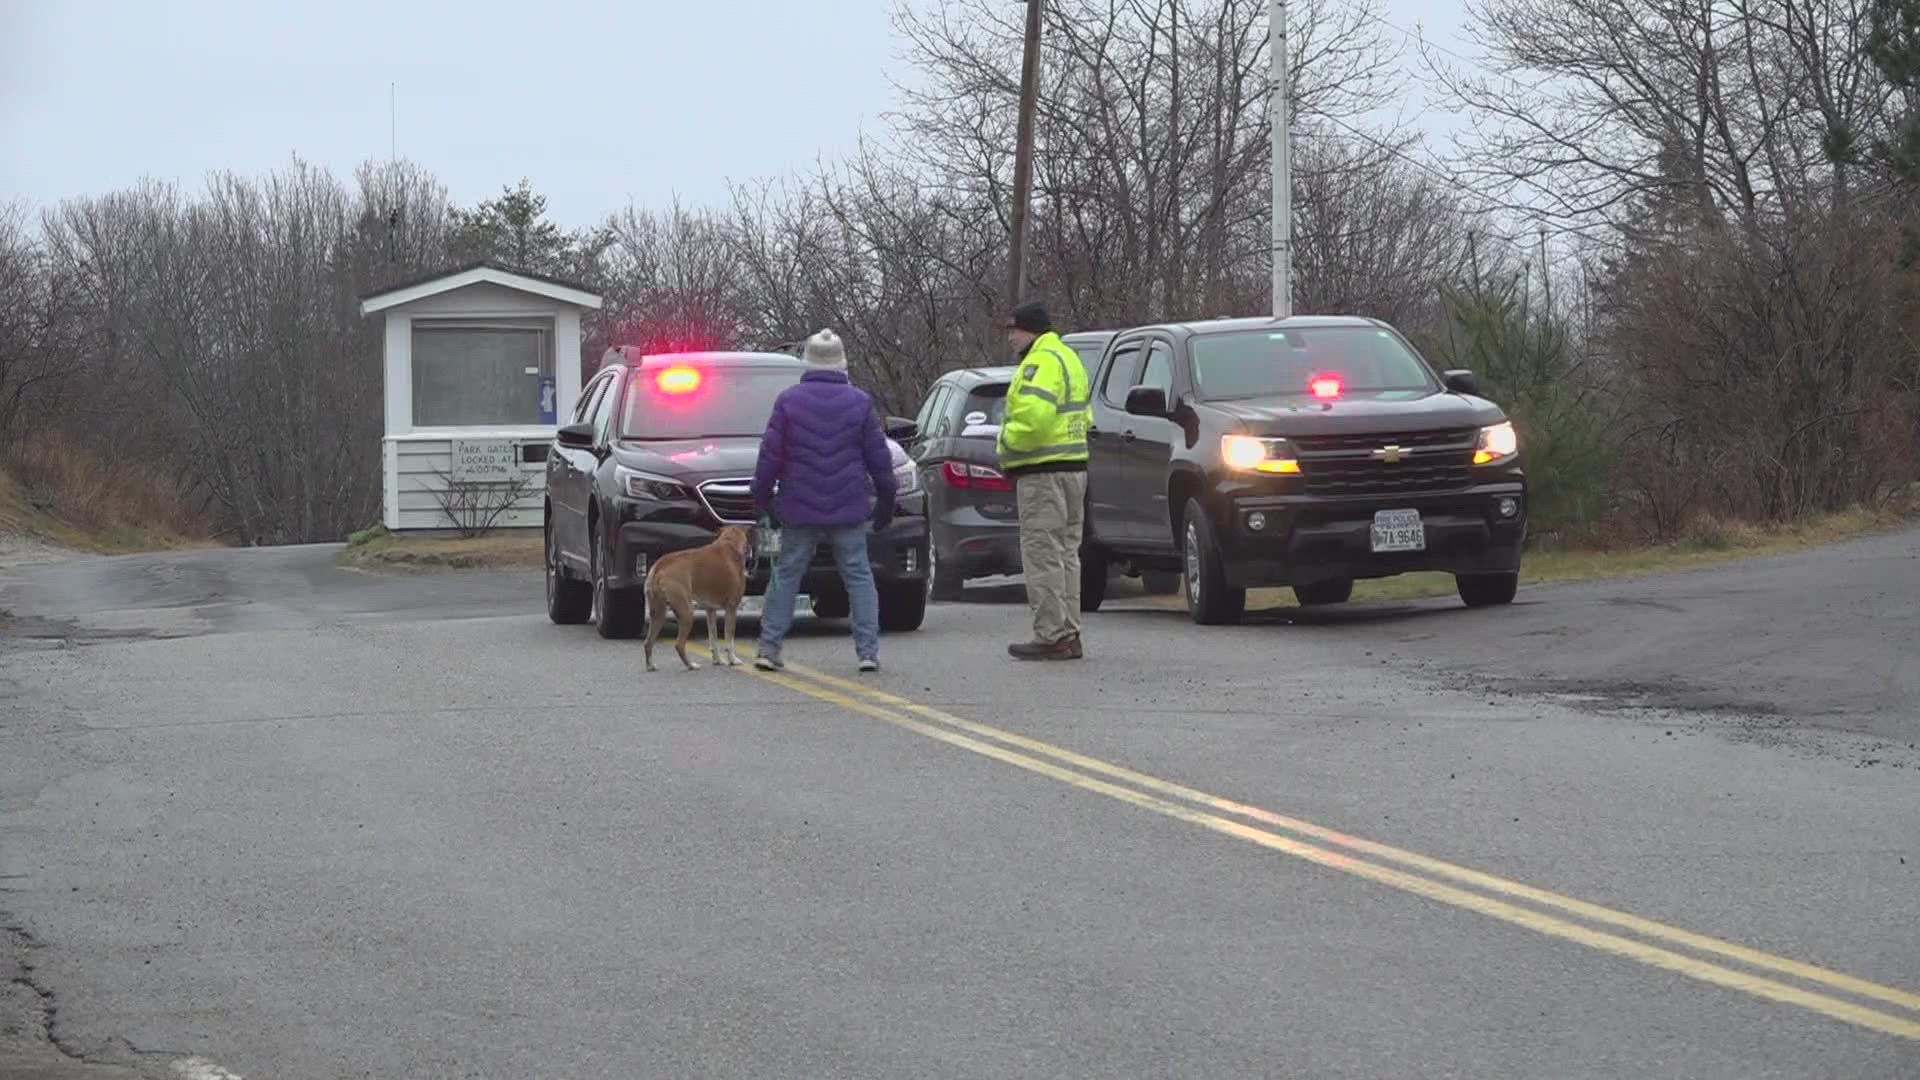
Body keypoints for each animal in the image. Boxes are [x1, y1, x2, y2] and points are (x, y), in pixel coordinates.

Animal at [641, 522, 752, 668]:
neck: (729, 544)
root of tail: (660, 565)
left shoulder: (710, 611)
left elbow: (713, 638)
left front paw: (718, 660)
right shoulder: (731, 608)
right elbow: (729, 640)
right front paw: (732, 660)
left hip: (658, 613)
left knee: (648, 643)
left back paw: (651, 666)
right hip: (686, 611)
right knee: (679, 645)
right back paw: (690, 665)